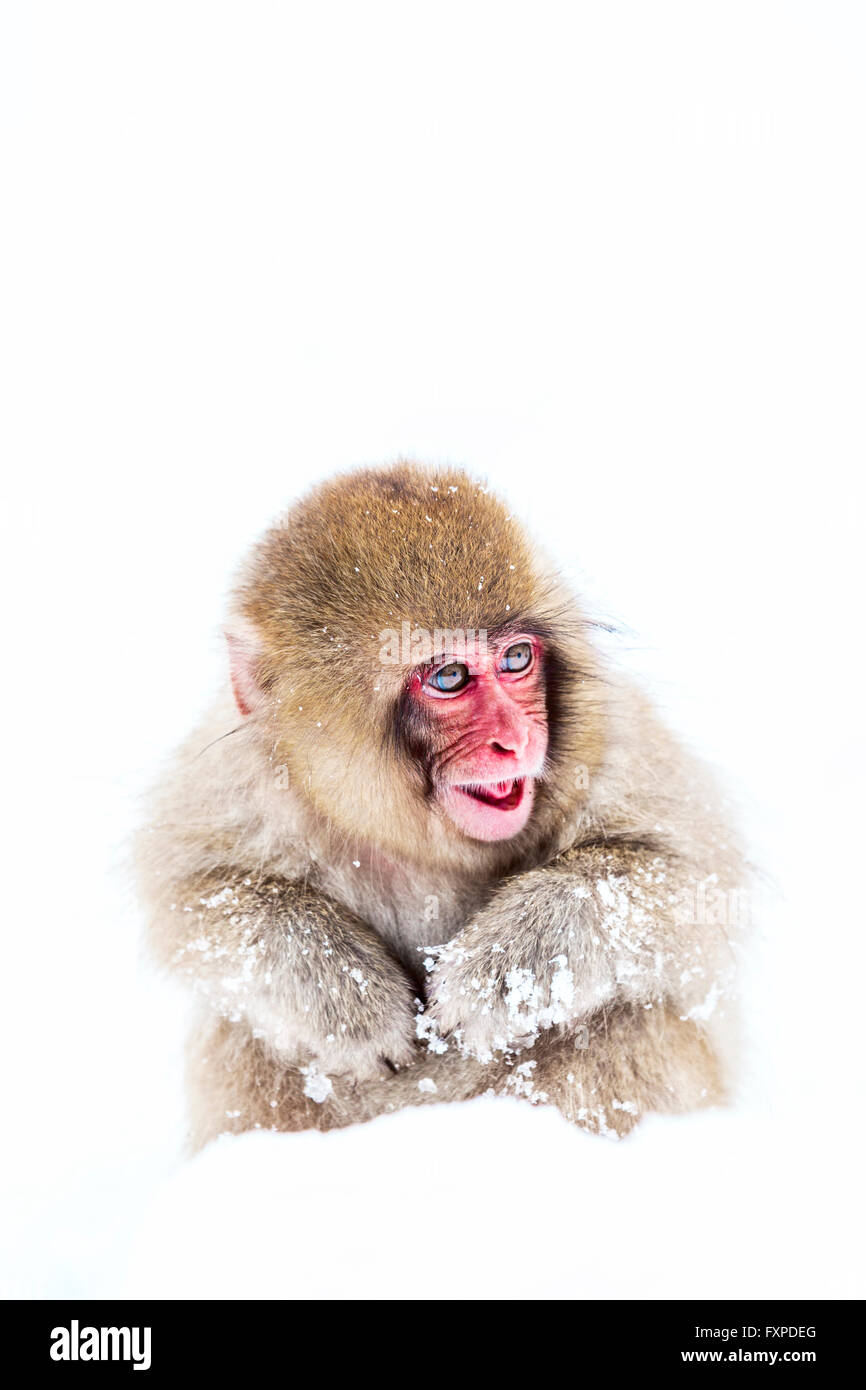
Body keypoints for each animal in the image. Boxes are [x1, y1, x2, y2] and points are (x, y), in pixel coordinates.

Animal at [135, 461, 747, 1149]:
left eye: (516, 659)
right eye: (449, 677)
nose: (518, 739)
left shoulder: (613, 743)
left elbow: (686, 880)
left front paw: (507, 967)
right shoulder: (243, 775)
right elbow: (196, 896)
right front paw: (345, 997)